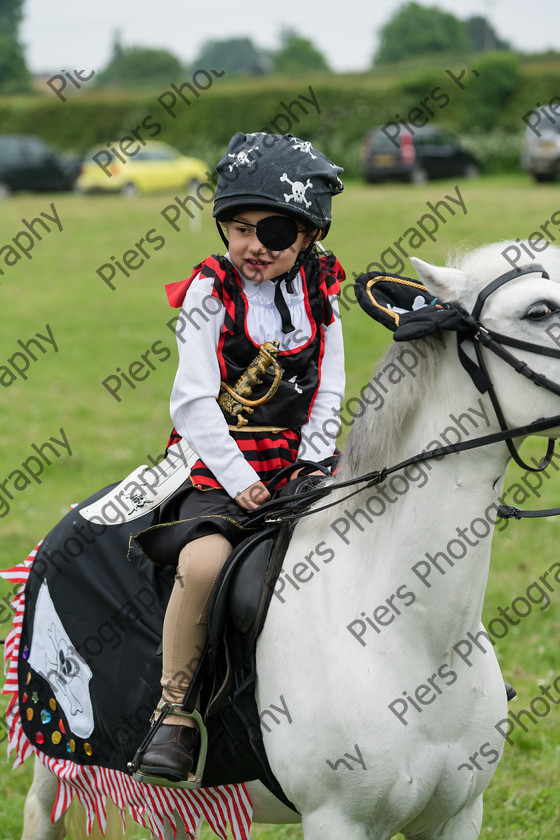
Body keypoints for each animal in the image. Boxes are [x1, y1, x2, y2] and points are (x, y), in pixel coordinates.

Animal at [18, 240, 560, 836]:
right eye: (539, 311)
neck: (414, 637)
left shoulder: (458, 815)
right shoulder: (338, 819)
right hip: (60, 758)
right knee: (40, 809)